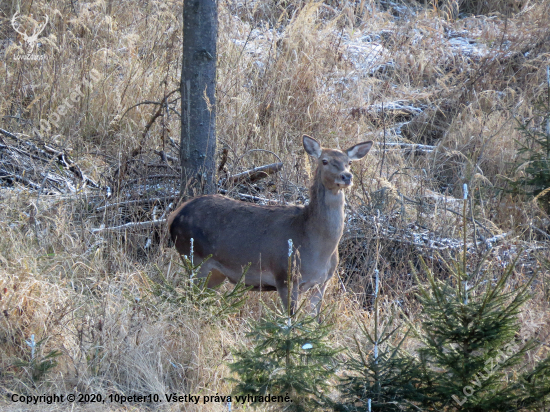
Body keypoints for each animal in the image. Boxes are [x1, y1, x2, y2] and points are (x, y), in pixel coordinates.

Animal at [169, 134, 376, 312]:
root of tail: (174, 217)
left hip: (215, 273)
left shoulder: (322, 282)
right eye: (324, 160)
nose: (346, 176)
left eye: (349, 162)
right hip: (195, 258)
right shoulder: (285, 275)